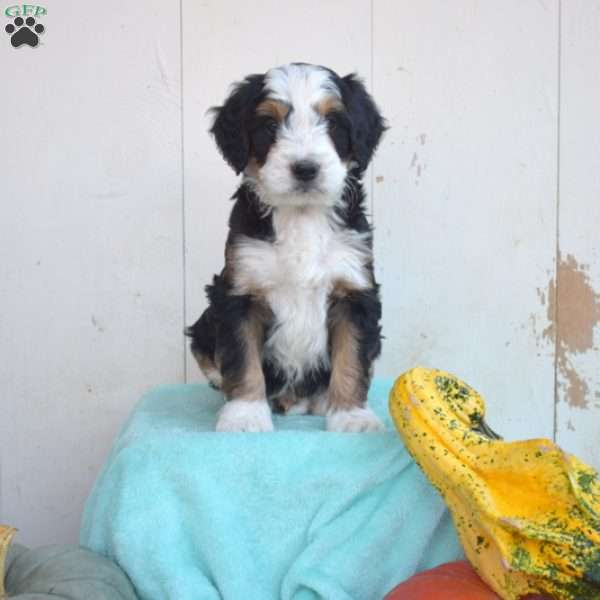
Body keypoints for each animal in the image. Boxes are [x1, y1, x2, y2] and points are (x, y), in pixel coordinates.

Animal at [185, 62, 386, 432]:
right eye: (269, 125)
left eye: (333, 122)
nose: (305, 169)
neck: (301, 215)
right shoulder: (239, 292)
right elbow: (242, 359)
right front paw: (244, 415)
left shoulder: (354, 290)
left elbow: (352, 358)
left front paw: (352, 417)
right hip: (206, 321)